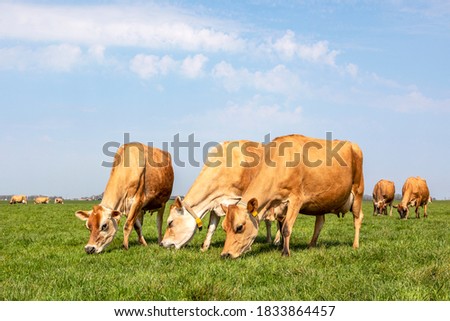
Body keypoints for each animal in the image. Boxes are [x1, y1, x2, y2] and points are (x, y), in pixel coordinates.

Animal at [220, 133, 364, 258]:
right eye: (224, 228)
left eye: (239, 227)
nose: (225, 255)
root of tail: (353, 144)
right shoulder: (281, 205)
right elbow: (281, 225)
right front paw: (280, 246)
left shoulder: (296, 199)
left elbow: (286, 228)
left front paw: (285, 253)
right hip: (321, 201)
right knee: (320, 222)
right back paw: (311, 245)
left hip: (358, 191)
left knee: (357, 218)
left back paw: (355, 245)